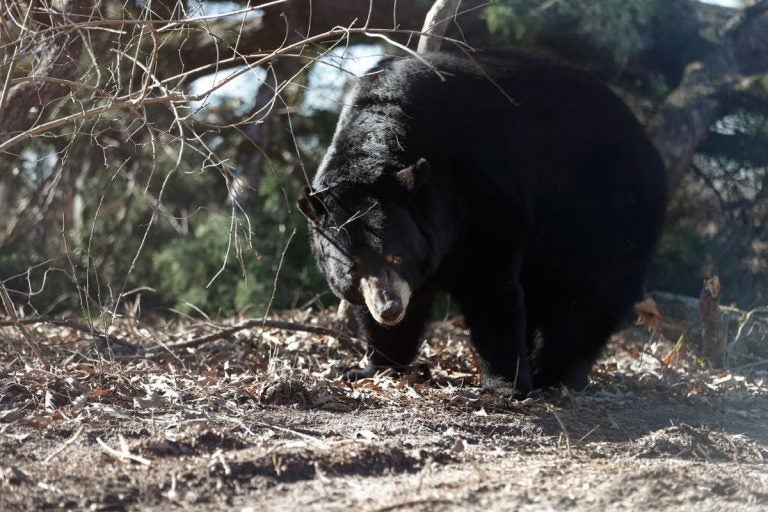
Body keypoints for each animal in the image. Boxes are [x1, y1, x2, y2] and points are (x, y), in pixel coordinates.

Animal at [300, 50, 664, 396]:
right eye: (354, 267)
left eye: (396, 256)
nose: (389, 308)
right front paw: (371, 366)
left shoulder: (482, 192)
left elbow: (488, 283)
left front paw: (506, 384)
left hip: (608, 214)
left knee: (586, 299)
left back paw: (554, 375)